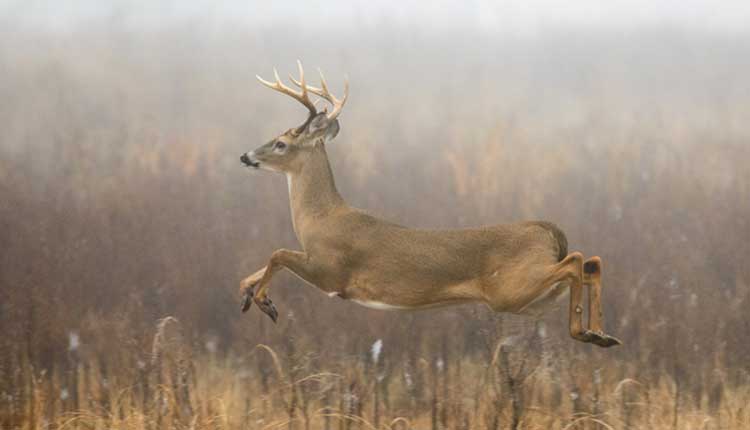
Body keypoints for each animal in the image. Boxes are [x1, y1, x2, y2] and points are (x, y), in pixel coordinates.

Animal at [239, 62, 624, 348]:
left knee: (577, 261)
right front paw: (248, 294)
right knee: (592, 262)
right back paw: (600, 334)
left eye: (281, 143)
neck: (319, 220)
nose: (245, 156)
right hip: (535, 297)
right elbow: (259, 266)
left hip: (510, 289)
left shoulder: (332, 272)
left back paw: (585, 331)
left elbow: (277, 253)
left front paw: (265, 303)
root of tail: (549, 231)